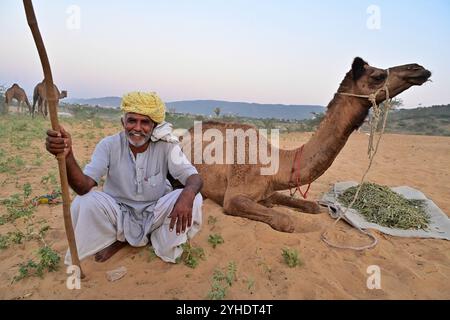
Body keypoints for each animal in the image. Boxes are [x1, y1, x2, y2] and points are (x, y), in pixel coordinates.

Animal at [184, 57, 432, 232]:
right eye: (378, 76)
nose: (419, 68)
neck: (275, 164)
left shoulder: (269, 190)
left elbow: (312, 206)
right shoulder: (233, 198)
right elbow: (286, 221)